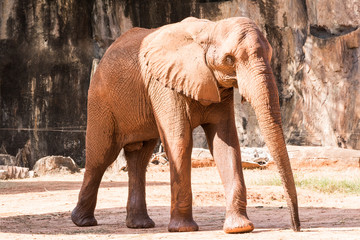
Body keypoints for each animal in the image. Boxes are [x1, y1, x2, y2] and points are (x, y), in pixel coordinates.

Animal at [71, 17, 300, 234]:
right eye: (229, 59)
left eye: (270, 55)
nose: (296, 227)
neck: (210, 28)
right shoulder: (164, 84)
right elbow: (180, 141)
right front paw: (183, 229)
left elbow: (226, 143)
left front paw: (239, 227)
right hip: (101, 101)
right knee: (101, 156)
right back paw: (83, 222)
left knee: (140, 159)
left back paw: (140, 225)